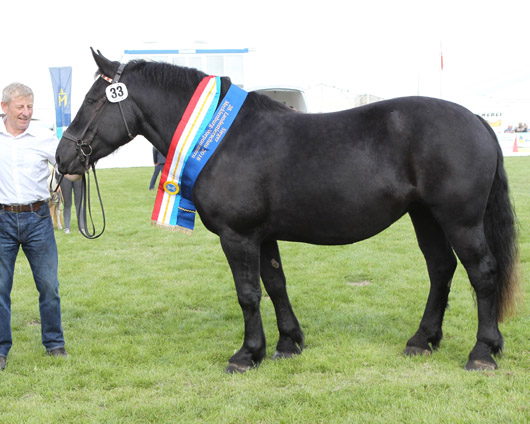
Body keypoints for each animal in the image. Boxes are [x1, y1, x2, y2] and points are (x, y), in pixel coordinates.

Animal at [55, 49, 516, 372]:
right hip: (426, 217)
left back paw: (482, 352)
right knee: (441, 269)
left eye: (94, 99)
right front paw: (288, 344)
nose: (63, 157)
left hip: (460, 220)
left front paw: (246, 354)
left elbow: (247, 293)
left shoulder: (238, 236)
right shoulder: (263, 235)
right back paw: (422, 340)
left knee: (482, 273)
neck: (223, 137)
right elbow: (275, 284)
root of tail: (476, 119)